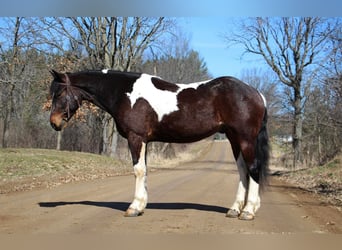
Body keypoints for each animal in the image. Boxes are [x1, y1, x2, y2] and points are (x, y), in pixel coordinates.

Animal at [49, 69, 268, 220]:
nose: (54, 122)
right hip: (234, 138)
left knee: (253, 168)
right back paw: (235, 209)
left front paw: (133, 208)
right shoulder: (144, 140)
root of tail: (256, 93)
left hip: (245, 138)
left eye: (58, 94)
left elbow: (138, 170)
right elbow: (144, 170)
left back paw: (248, 211)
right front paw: (141, 205)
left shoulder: (136, 137)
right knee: (242, 170)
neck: (126, 93)